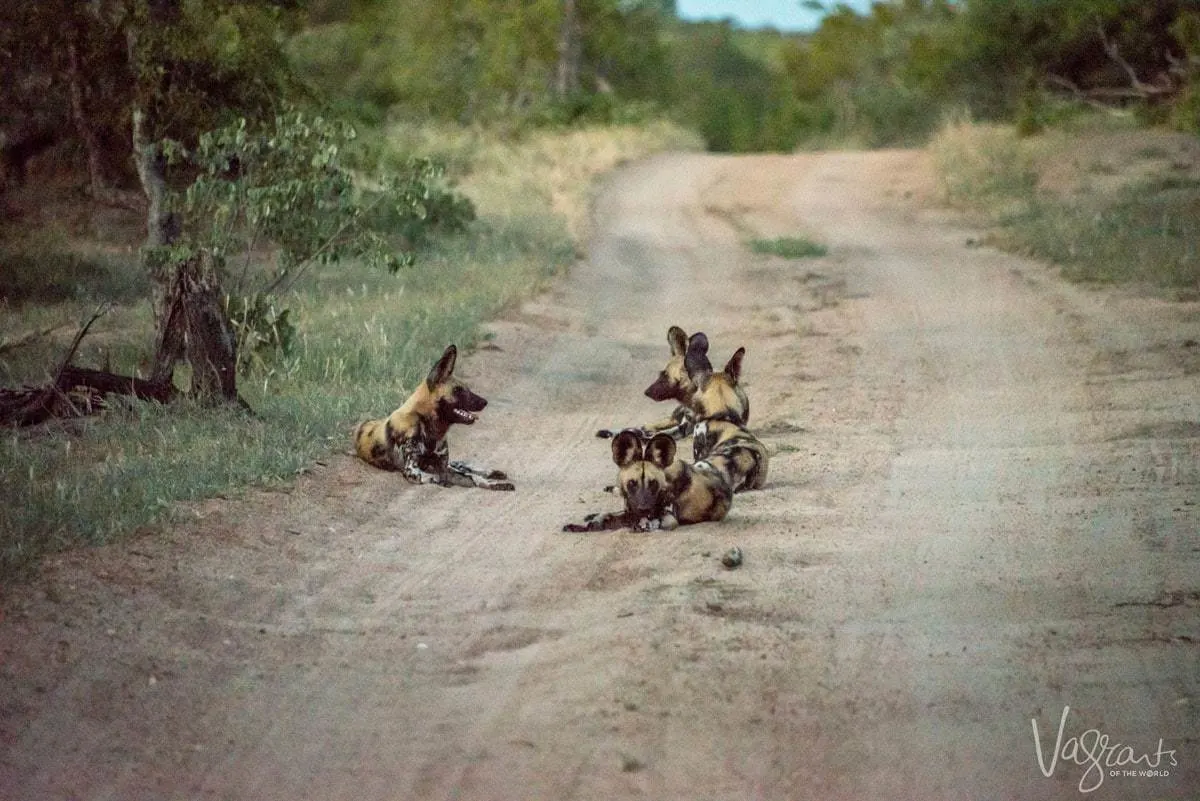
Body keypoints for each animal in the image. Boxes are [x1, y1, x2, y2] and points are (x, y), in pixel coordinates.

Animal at [350, 342, 511, 489]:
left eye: (467, 389)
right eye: (457, 390)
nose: (484, 402)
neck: (431, 428)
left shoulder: (442, 463)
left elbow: (466, 475)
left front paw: (489, 482)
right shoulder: (412, 470)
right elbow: (442, 477)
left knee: (463, 467)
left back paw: (492, 473)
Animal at [561, 424, 729, 532]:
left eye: (653, 483)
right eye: (632, 483)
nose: (644, 508)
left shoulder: (667, 519)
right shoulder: (630, 510)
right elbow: (609, 516)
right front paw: (583, 524)